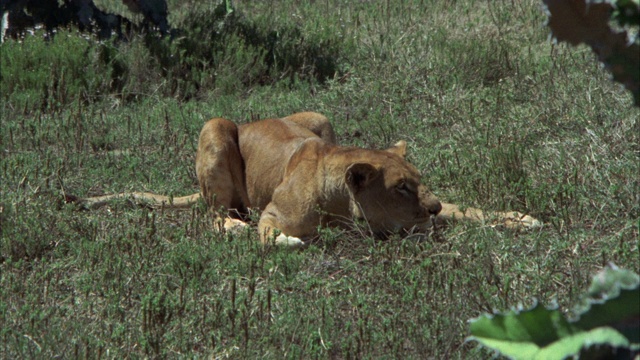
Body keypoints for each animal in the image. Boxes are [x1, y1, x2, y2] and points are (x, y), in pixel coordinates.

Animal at [77, 112, 544, 248]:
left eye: (418, 181)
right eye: (401, 187)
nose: (432, 207)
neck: (342, 206)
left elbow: (469, 209)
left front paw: (520, 219)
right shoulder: (271, 213)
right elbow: (271, 235)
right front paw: (293, 241)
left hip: (319, 117)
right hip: (214, 129)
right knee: (213, 214)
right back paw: (234, 224)